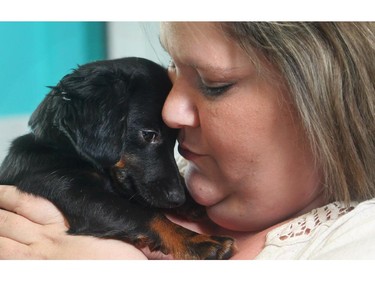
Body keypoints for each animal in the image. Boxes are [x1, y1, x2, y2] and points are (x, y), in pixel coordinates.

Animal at [0, 56, 235, 258]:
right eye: (149, 134)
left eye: (175, 140)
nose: (177, 198)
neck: (59, 149)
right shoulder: (70, 189)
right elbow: (146, 215)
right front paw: (199, 241)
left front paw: (193, 202)